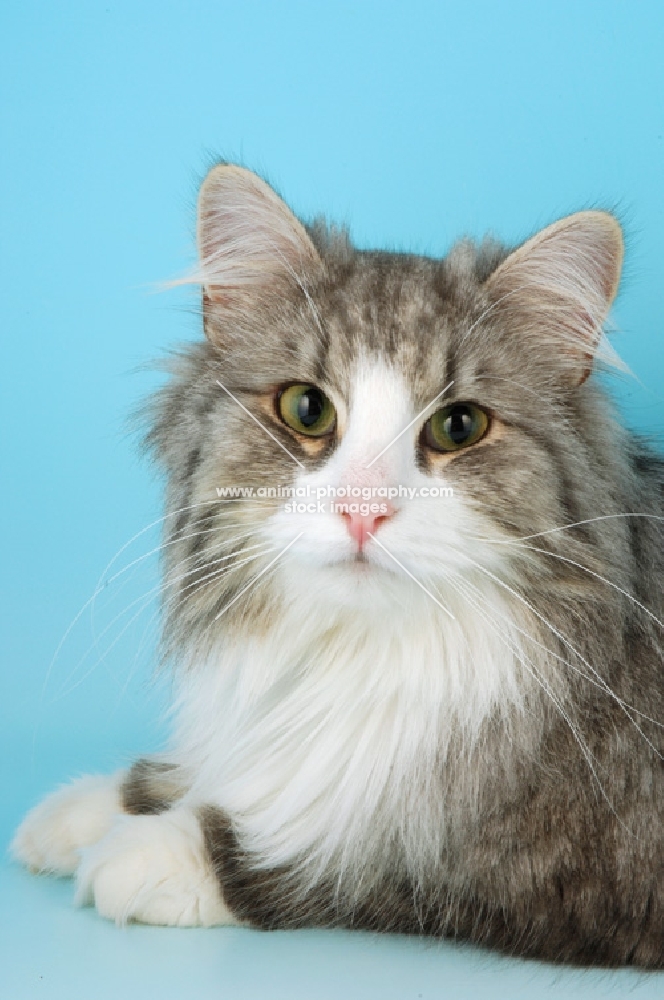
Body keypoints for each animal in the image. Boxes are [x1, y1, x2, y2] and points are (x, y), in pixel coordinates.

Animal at [13, 164, 664, 968]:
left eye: (458, 426)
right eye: (307, 409)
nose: (363, 510)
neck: (359, 652)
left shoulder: (552, 865)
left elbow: (337, 857)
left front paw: (145, 853)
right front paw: (82, 810)